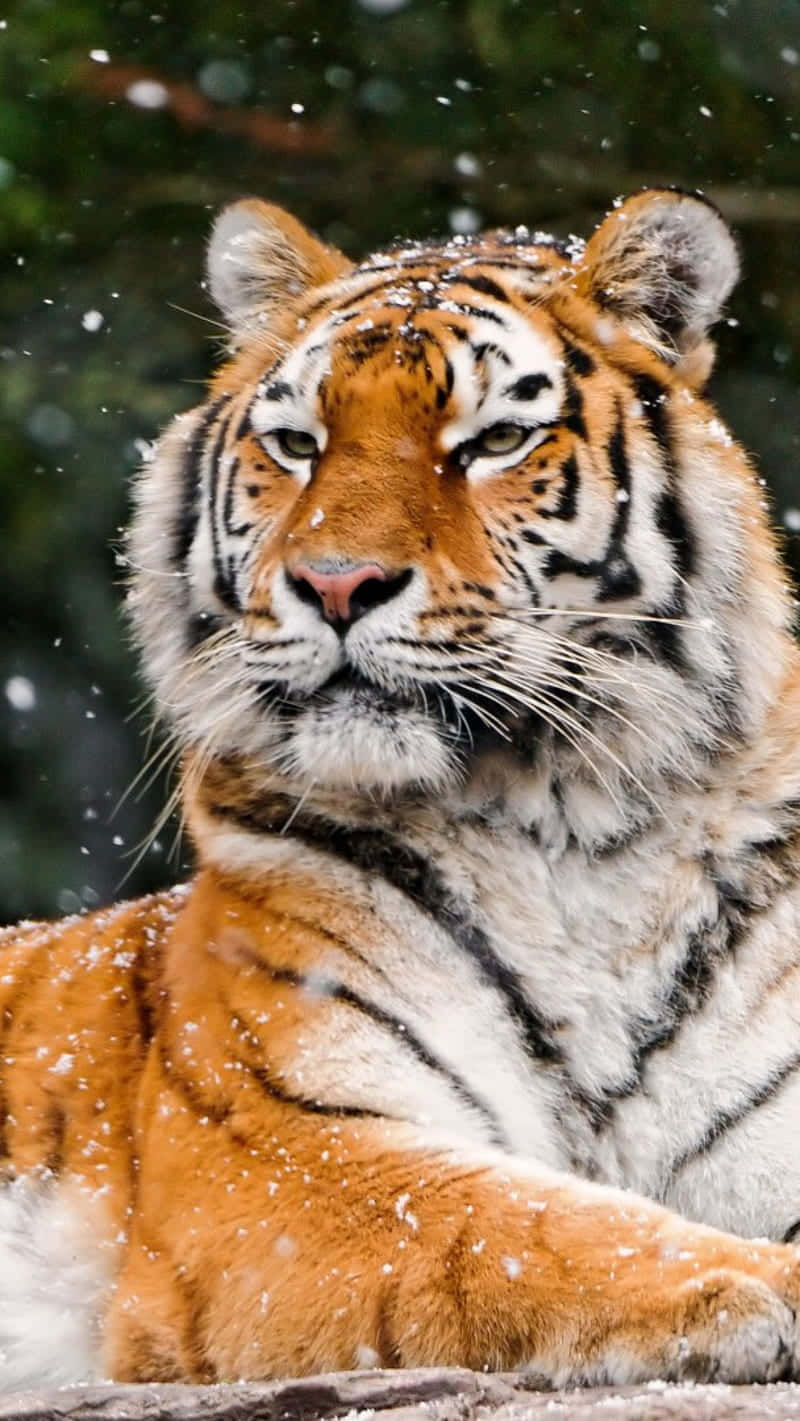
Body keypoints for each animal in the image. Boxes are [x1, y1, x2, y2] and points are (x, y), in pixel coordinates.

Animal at [3, 187, 800, 1393]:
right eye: (297, 444)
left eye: (494, 439)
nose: (336, 584)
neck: (573, 829)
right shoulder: (279, 1149)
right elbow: (521, 1227)